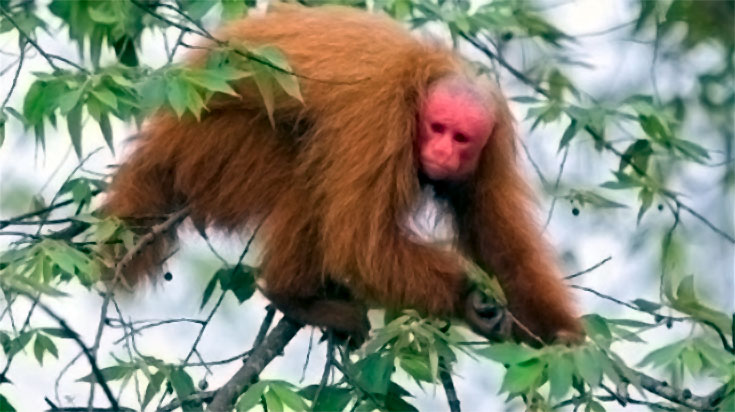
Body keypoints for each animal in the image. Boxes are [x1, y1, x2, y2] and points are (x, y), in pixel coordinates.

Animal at [104, 4, 583, 346]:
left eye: (461, 138)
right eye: (436, 128)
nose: (442, 153)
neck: (420, 90)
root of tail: (163, 131)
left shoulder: (492, 145)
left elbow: (503, 247)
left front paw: (559, 336)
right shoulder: (380, 118)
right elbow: (361, 246)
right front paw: (469, 301)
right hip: (210, 150)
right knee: (304, 172)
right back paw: (294, 294)